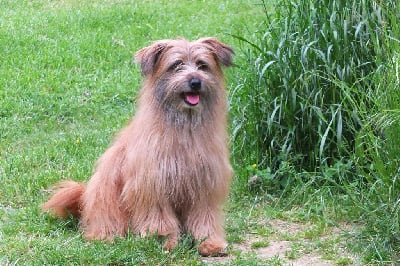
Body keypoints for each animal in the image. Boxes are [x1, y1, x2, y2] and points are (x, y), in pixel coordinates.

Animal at [41, 37, 233, 256]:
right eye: (176, 65)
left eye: (202, 65)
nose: (195, 82)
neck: (184, 128)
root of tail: (85, 200)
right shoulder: (152, 184)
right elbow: (159, 217)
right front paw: (162, 239)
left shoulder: (205, 186)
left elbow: (205, 217)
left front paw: (210, 242)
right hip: (107, 196)